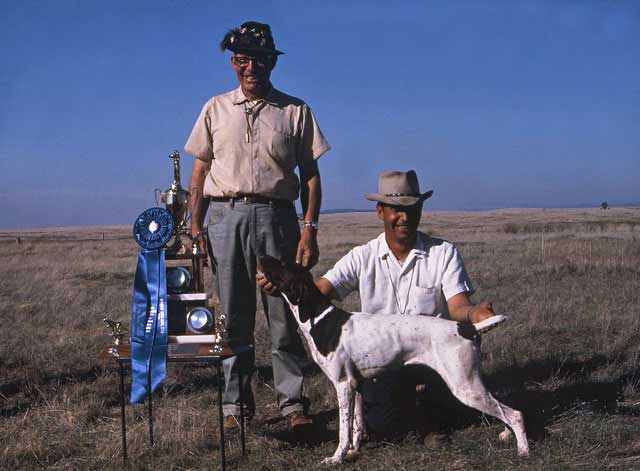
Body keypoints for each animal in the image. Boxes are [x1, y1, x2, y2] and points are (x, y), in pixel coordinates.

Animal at [256, 254, 528, 464]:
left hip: (465, 387)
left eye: (283, 263)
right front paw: (354, 452)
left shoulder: (343, 385)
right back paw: (507, 435)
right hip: (471, 384)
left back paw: (523, 451)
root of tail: (467, 328)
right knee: (503, 409)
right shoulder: (357, 385)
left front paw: (337, 458)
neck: (320, 318)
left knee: (514, 413)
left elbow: (343, 430)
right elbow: (356, 426)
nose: (261, 256)